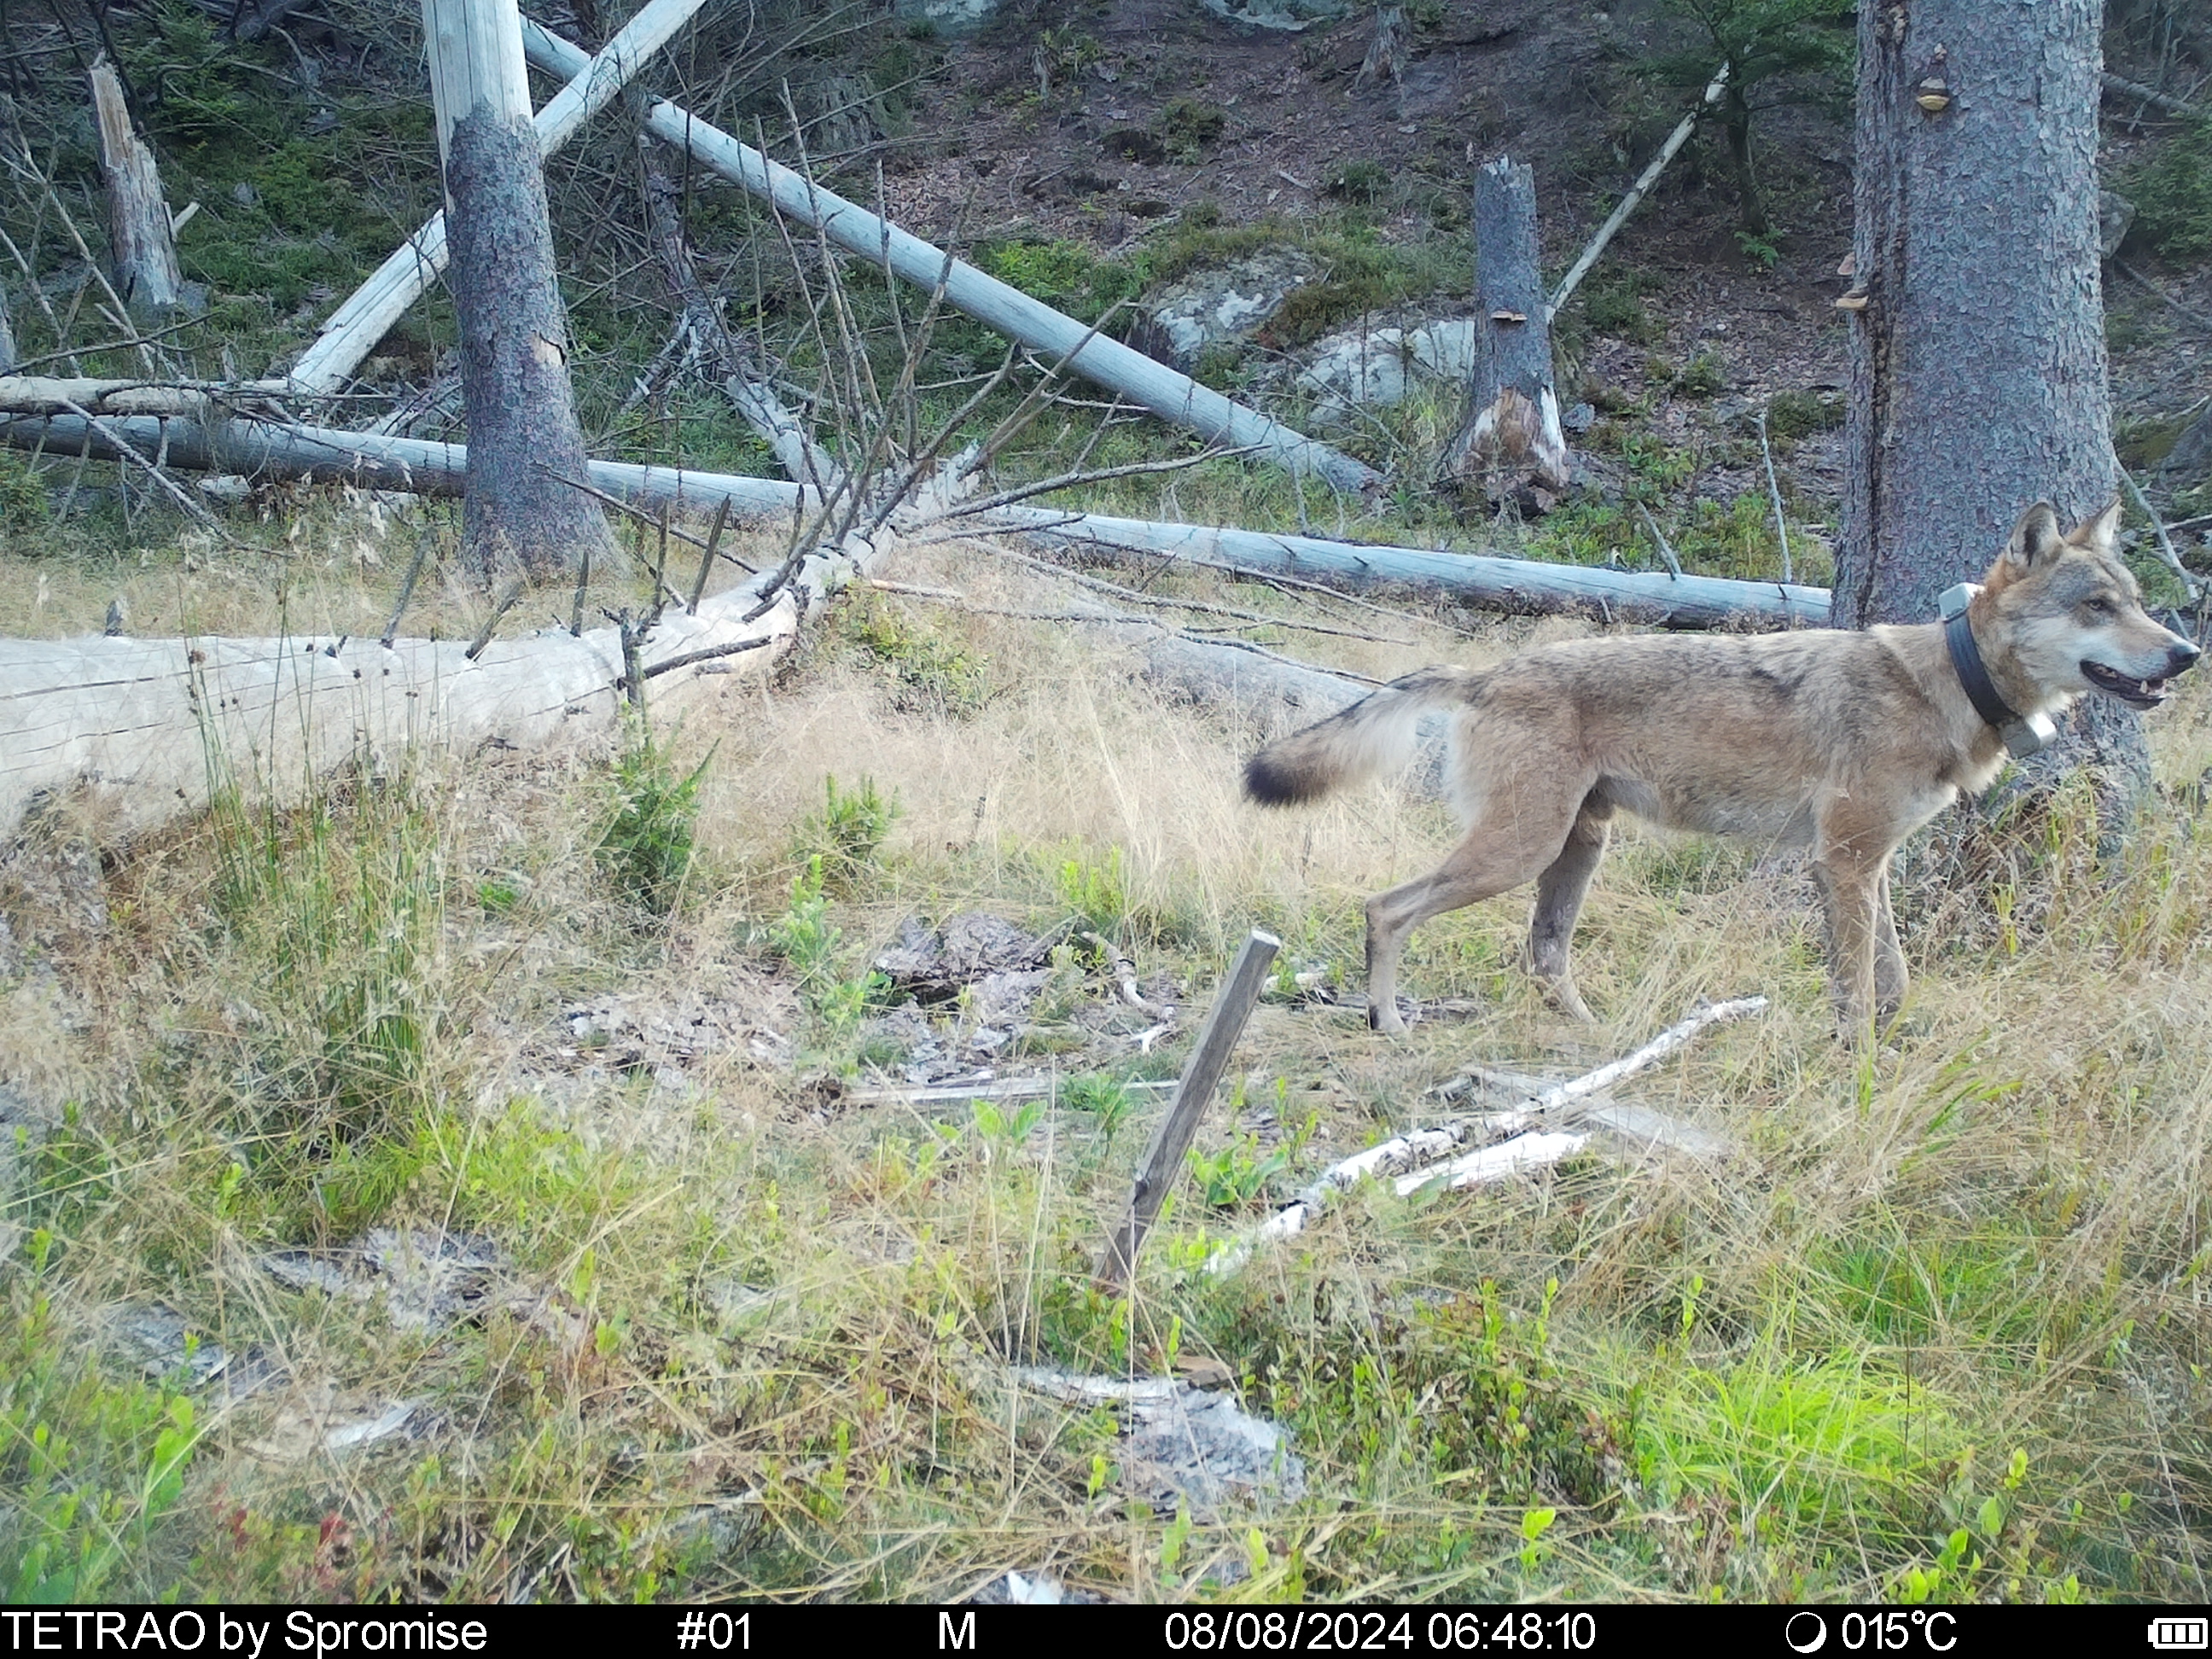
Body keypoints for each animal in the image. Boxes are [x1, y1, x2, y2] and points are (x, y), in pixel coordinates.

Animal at [1247, 499, 2194, 1039]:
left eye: (2138, 603)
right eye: (2097, 607)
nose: (2187, 655)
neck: (1943, 685)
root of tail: (1487, 671)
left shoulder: (1867, 864)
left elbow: (1894, 980)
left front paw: (1877, 1045)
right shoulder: (1844, 863)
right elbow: (1859, 986)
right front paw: (1856, 1068)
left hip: (1575, 851)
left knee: (1542, 957)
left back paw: (1603, 1040)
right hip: (1517, 851)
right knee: (1386, 908)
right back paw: (1388, 1024)